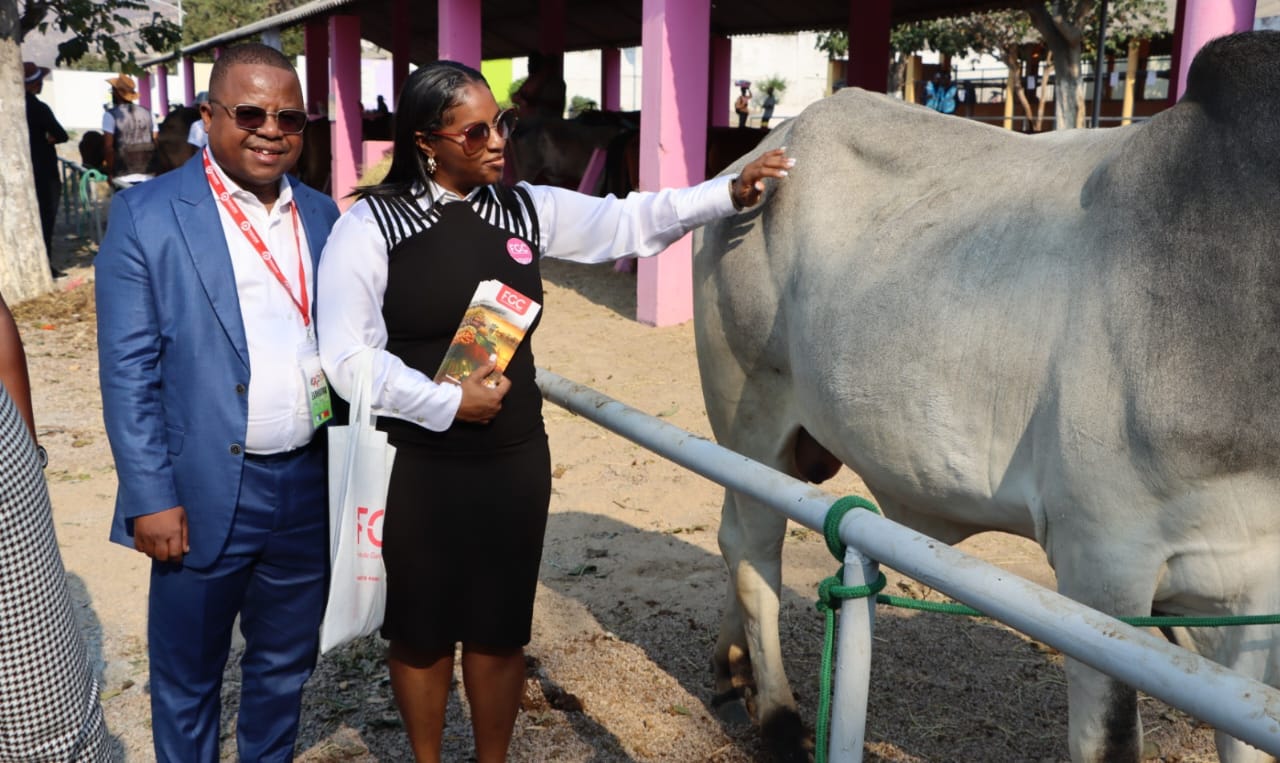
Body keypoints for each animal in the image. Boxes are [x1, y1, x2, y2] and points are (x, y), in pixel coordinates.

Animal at [696, 31, 1280, 763]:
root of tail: (761, 153)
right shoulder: (1102, 560)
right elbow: (1110, 740)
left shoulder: (1250, 589)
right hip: (750, 411)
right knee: (753, 547)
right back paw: (776, 716)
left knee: (733, 529)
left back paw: (731, 670)